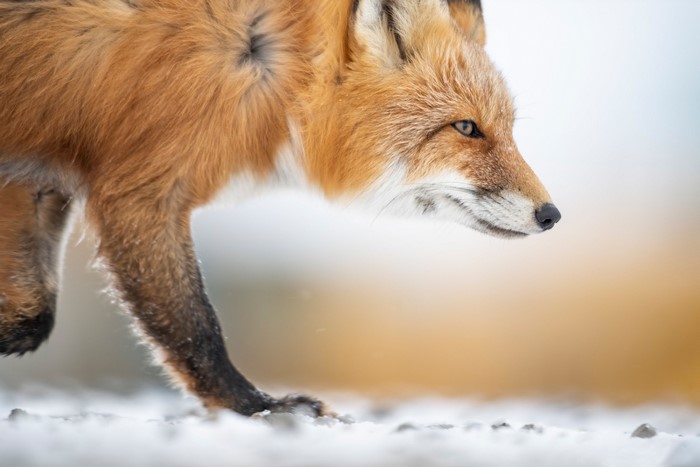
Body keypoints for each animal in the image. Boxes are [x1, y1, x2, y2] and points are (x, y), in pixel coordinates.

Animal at [0, 0, 561, 416]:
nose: (551, 215)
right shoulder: (140, 191)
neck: (278, 70)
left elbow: (34, 315)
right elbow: (196, 328)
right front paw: (258, 408)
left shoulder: (36, 172)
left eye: (507, 129)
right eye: (466, 128)